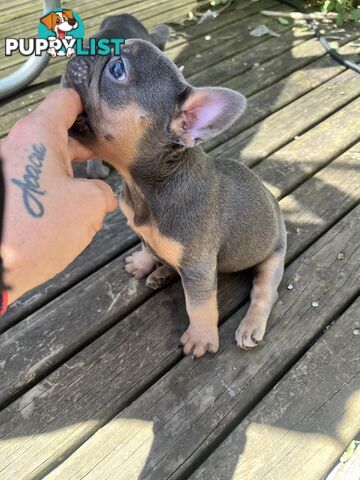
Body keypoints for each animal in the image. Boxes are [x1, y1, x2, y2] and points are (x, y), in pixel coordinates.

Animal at [63, 14, 286, 356]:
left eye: (117, 68)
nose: (85, 45)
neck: (147, 187)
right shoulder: (146, 233)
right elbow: (147, 246)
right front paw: (143, 262)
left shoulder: (198, 268)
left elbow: (199, 304)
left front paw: (201, 338)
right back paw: (161, 272)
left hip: (273, 255)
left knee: (264, 292)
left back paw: (251, 325)